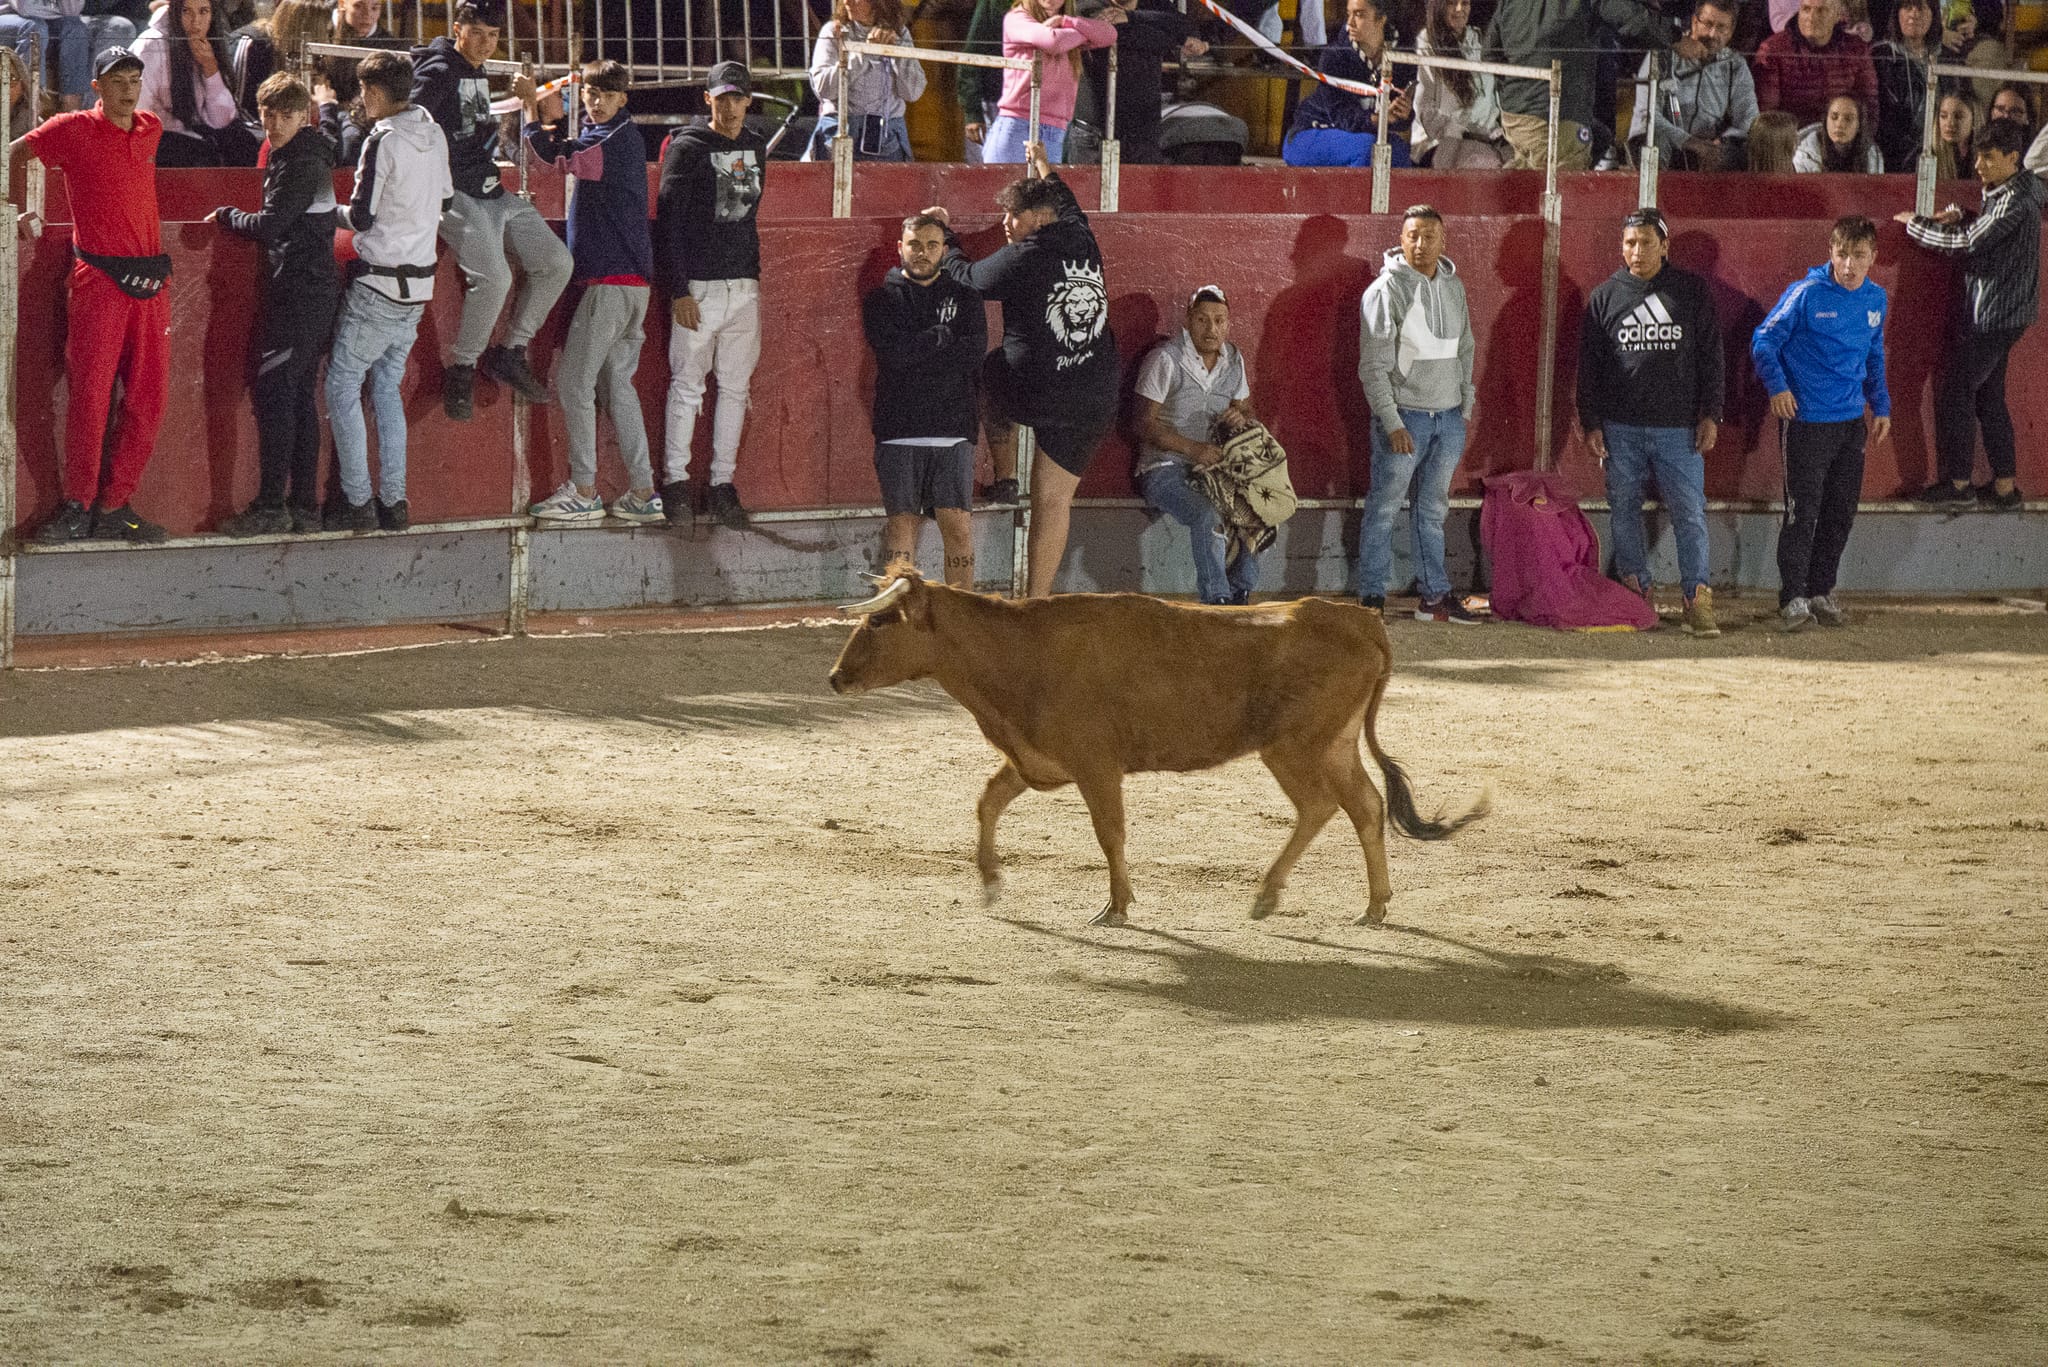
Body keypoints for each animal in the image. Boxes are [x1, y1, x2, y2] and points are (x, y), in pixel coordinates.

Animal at [827, 563, 1485, 927]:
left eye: (879, 622)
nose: (834, 678)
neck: (1022, 651)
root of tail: (1358, 619)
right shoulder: (1036, 760)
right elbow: (988, 802)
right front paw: (991, 883)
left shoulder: (1096, 766)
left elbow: (1109, 833)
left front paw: (1116, 908)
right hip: (1336, 744)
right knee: (1366, 807)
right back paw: (1372, 907)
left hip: (1297, 748)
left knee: (1323, 806)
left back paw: (1268, 896)